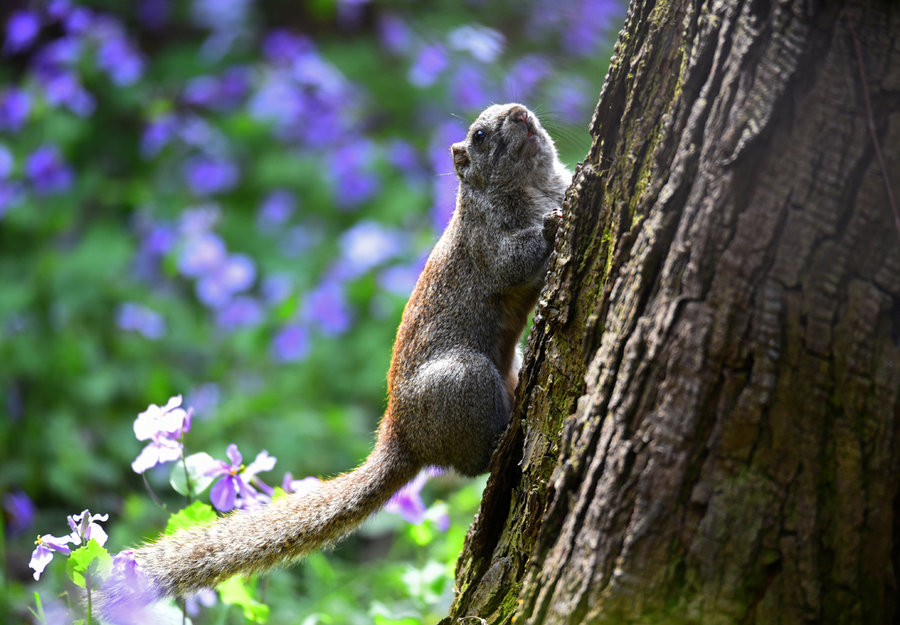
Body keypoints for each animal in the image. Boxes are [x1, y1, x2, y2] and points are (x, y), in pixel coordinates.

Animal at [103, 102, 568, 616]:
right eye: (481, 135)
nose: (521, 113)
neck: (531, 184)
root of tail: (401, 436)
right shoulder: (486, 241)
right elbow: (513, 260)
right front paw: (553, 222)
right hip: (462, 379)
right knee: (471, 464)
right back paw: (503, 440)